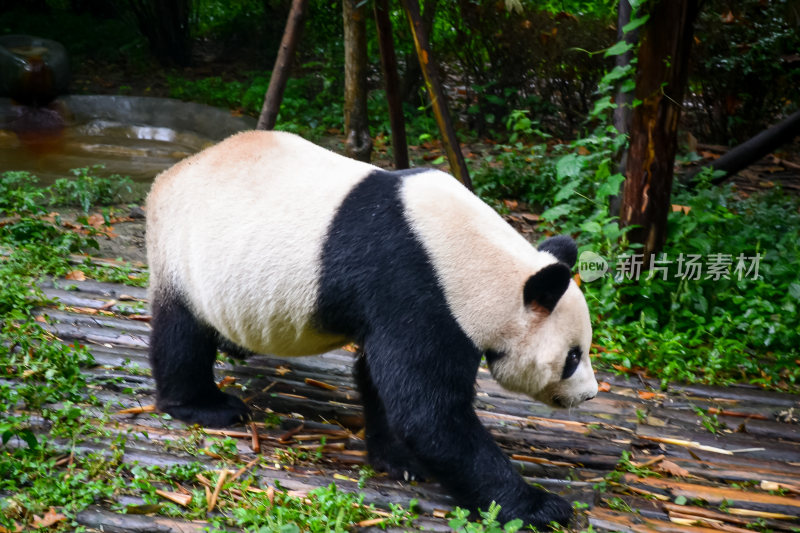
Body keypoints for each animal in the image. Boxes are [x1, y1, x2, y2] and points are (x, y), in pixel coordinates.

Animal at [145, 130, 592, 528]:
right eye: (573, 356)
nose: (588, 395)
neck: (483, 260)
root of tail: (168, 176)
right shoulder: (416, 283)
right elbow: (428, 411)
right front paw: (542, 506)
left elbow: (383, 382)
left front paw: (398, 459)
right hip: (182, 252)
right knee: (181, 334)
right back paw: (205, 406)